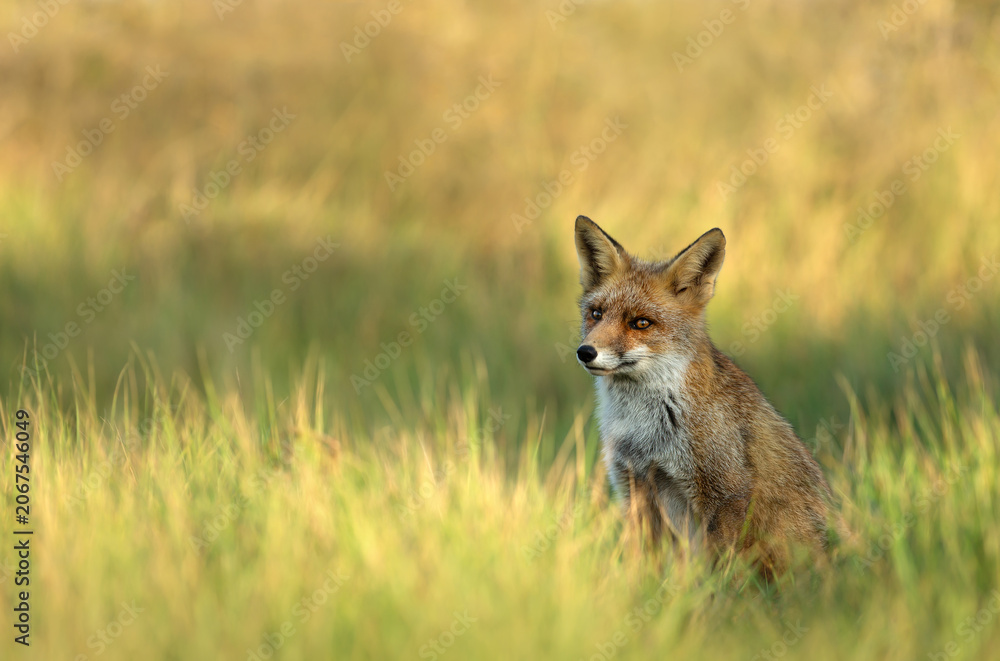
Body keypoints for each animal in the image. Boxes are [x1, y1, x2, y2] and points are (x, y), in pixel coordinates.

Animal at [573, 215, 833, 576]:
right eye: (596, 314)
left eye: (641, 323)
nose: (586, 352)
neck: (644, 428)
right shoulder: (634, 486)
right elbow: (643, 567)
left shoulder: (726, 493)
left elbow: (722, 572)